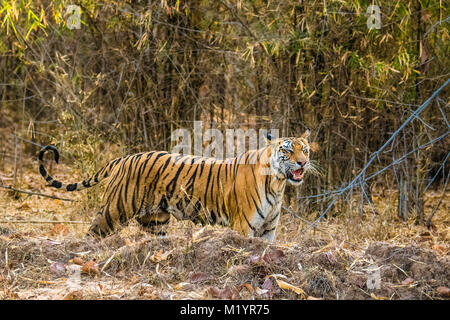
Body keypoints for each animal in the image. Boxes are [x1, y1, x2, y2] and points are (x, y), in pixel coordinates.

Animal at [37, 130, 316, 242]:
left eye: (305, 149)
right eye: (287, 150)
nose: (303, 163)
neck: (277, 184)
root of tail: (124, 158)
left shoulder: (268, 230)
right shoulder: (242, 227)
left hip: (155, 220)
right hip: (115, 210)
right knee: (93, 233)